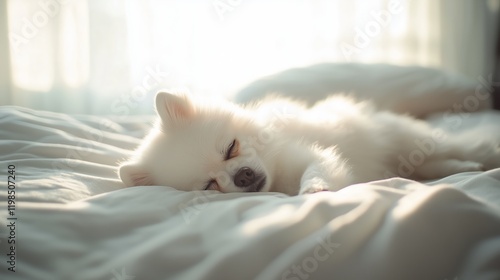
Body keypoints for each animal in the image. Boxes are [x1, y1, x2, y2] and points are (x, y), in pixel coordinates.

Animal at [118, 92, 500, 195]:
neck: (276, 174)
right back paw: (463, 168)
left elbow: (318, 168)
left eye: (231, 148)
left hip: (408, 140)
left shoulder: (309, 153)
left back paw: (483, 156)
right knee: (431, 165)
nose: (242, 176)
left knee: (455, 147)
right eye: (211, 186)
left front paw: (314, 189)